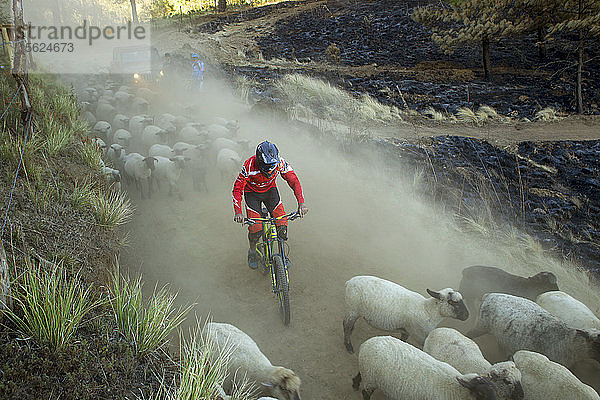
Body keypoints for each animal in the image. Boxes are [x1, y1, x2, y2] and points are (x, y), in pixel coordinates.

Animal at [354, 336, 500, 400]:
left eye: (495, 391)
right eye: (481, 394)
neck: (456, 390)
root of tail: (367, 343)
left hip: (367, 371)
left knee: (359, 374)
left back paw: (355, 384)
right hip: (371, 379)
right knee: (365, 393)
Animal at [468, 292, 600, 368]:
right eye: (596, 342)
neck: (567, 341)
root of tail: (489, 295)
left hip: (502, 336)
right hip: (482, 324)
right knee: (470, 334)